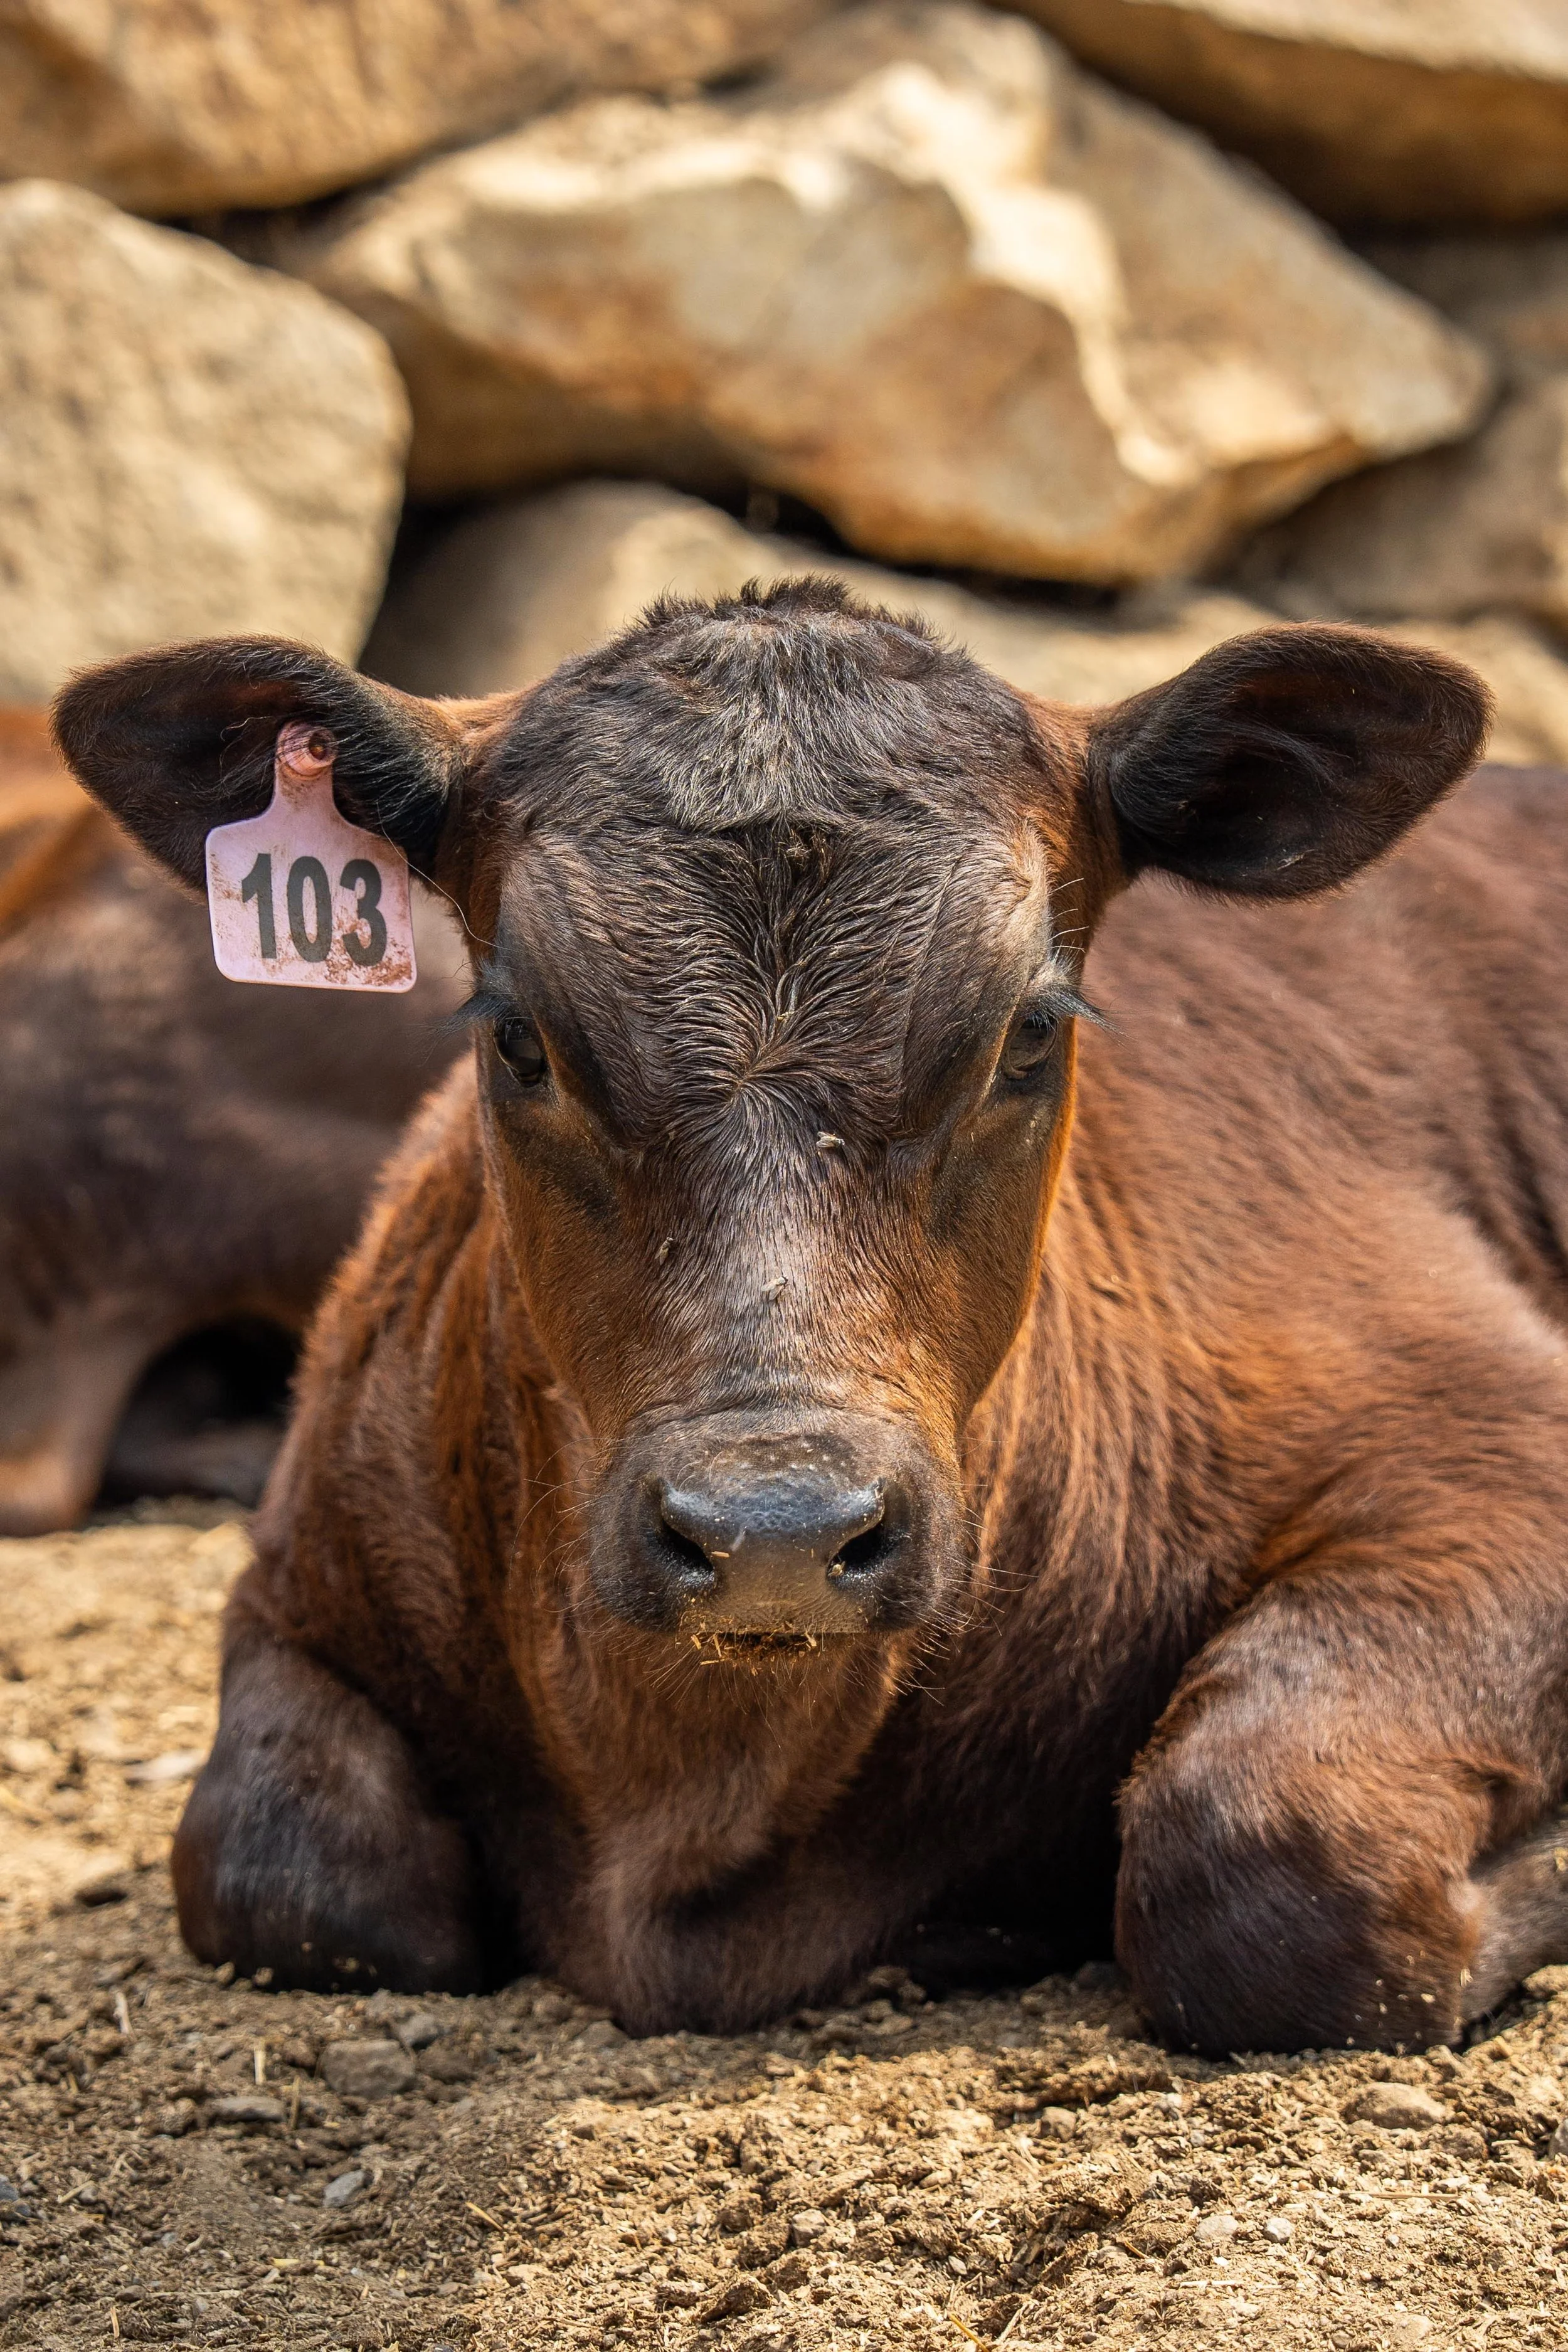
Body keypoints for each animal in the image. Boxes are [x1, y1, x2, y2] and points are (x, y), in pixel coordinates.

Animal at [53, 582, 1568, 2054]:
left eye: (1029, 1032)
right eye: (518, 1037)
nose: (773, 1535)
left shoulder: (1488, 1433)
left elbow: (1262, 1855)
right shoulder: (296, 1572)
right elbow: (284, 1863)